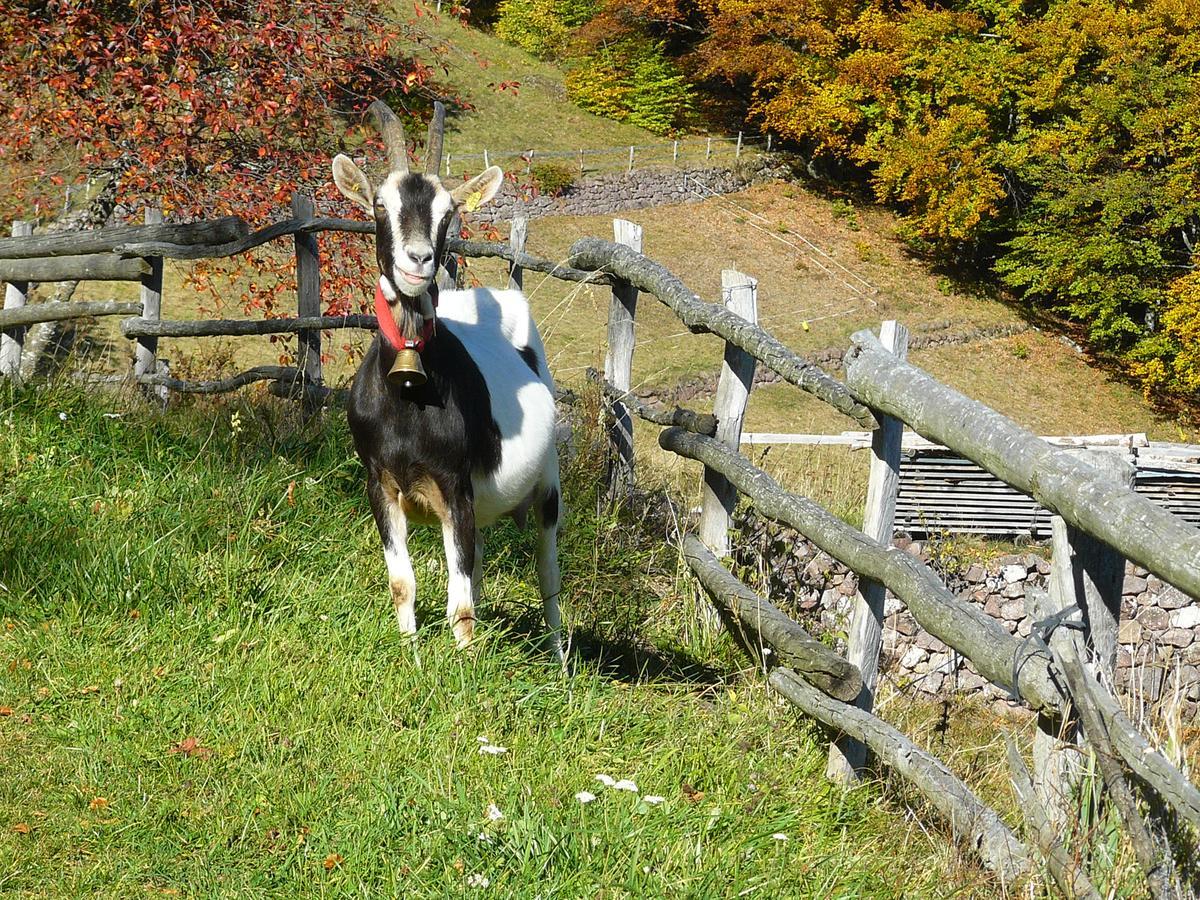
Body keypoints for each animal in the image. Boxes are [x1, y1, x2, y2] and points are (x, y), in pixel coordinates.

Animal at [331, 102, 564, 657]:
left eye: (448, 212)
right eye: (379, 205)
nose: (419, 261)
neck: (408, 396)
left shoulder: (455, 486)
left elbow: (461, 605)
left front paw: (461, 667)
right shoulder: (380, 482)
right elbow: (404, 583)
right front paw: (411, 655)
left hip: (547, 484)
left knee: (547, 577)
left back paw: (560, 662)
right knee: (477, 571)